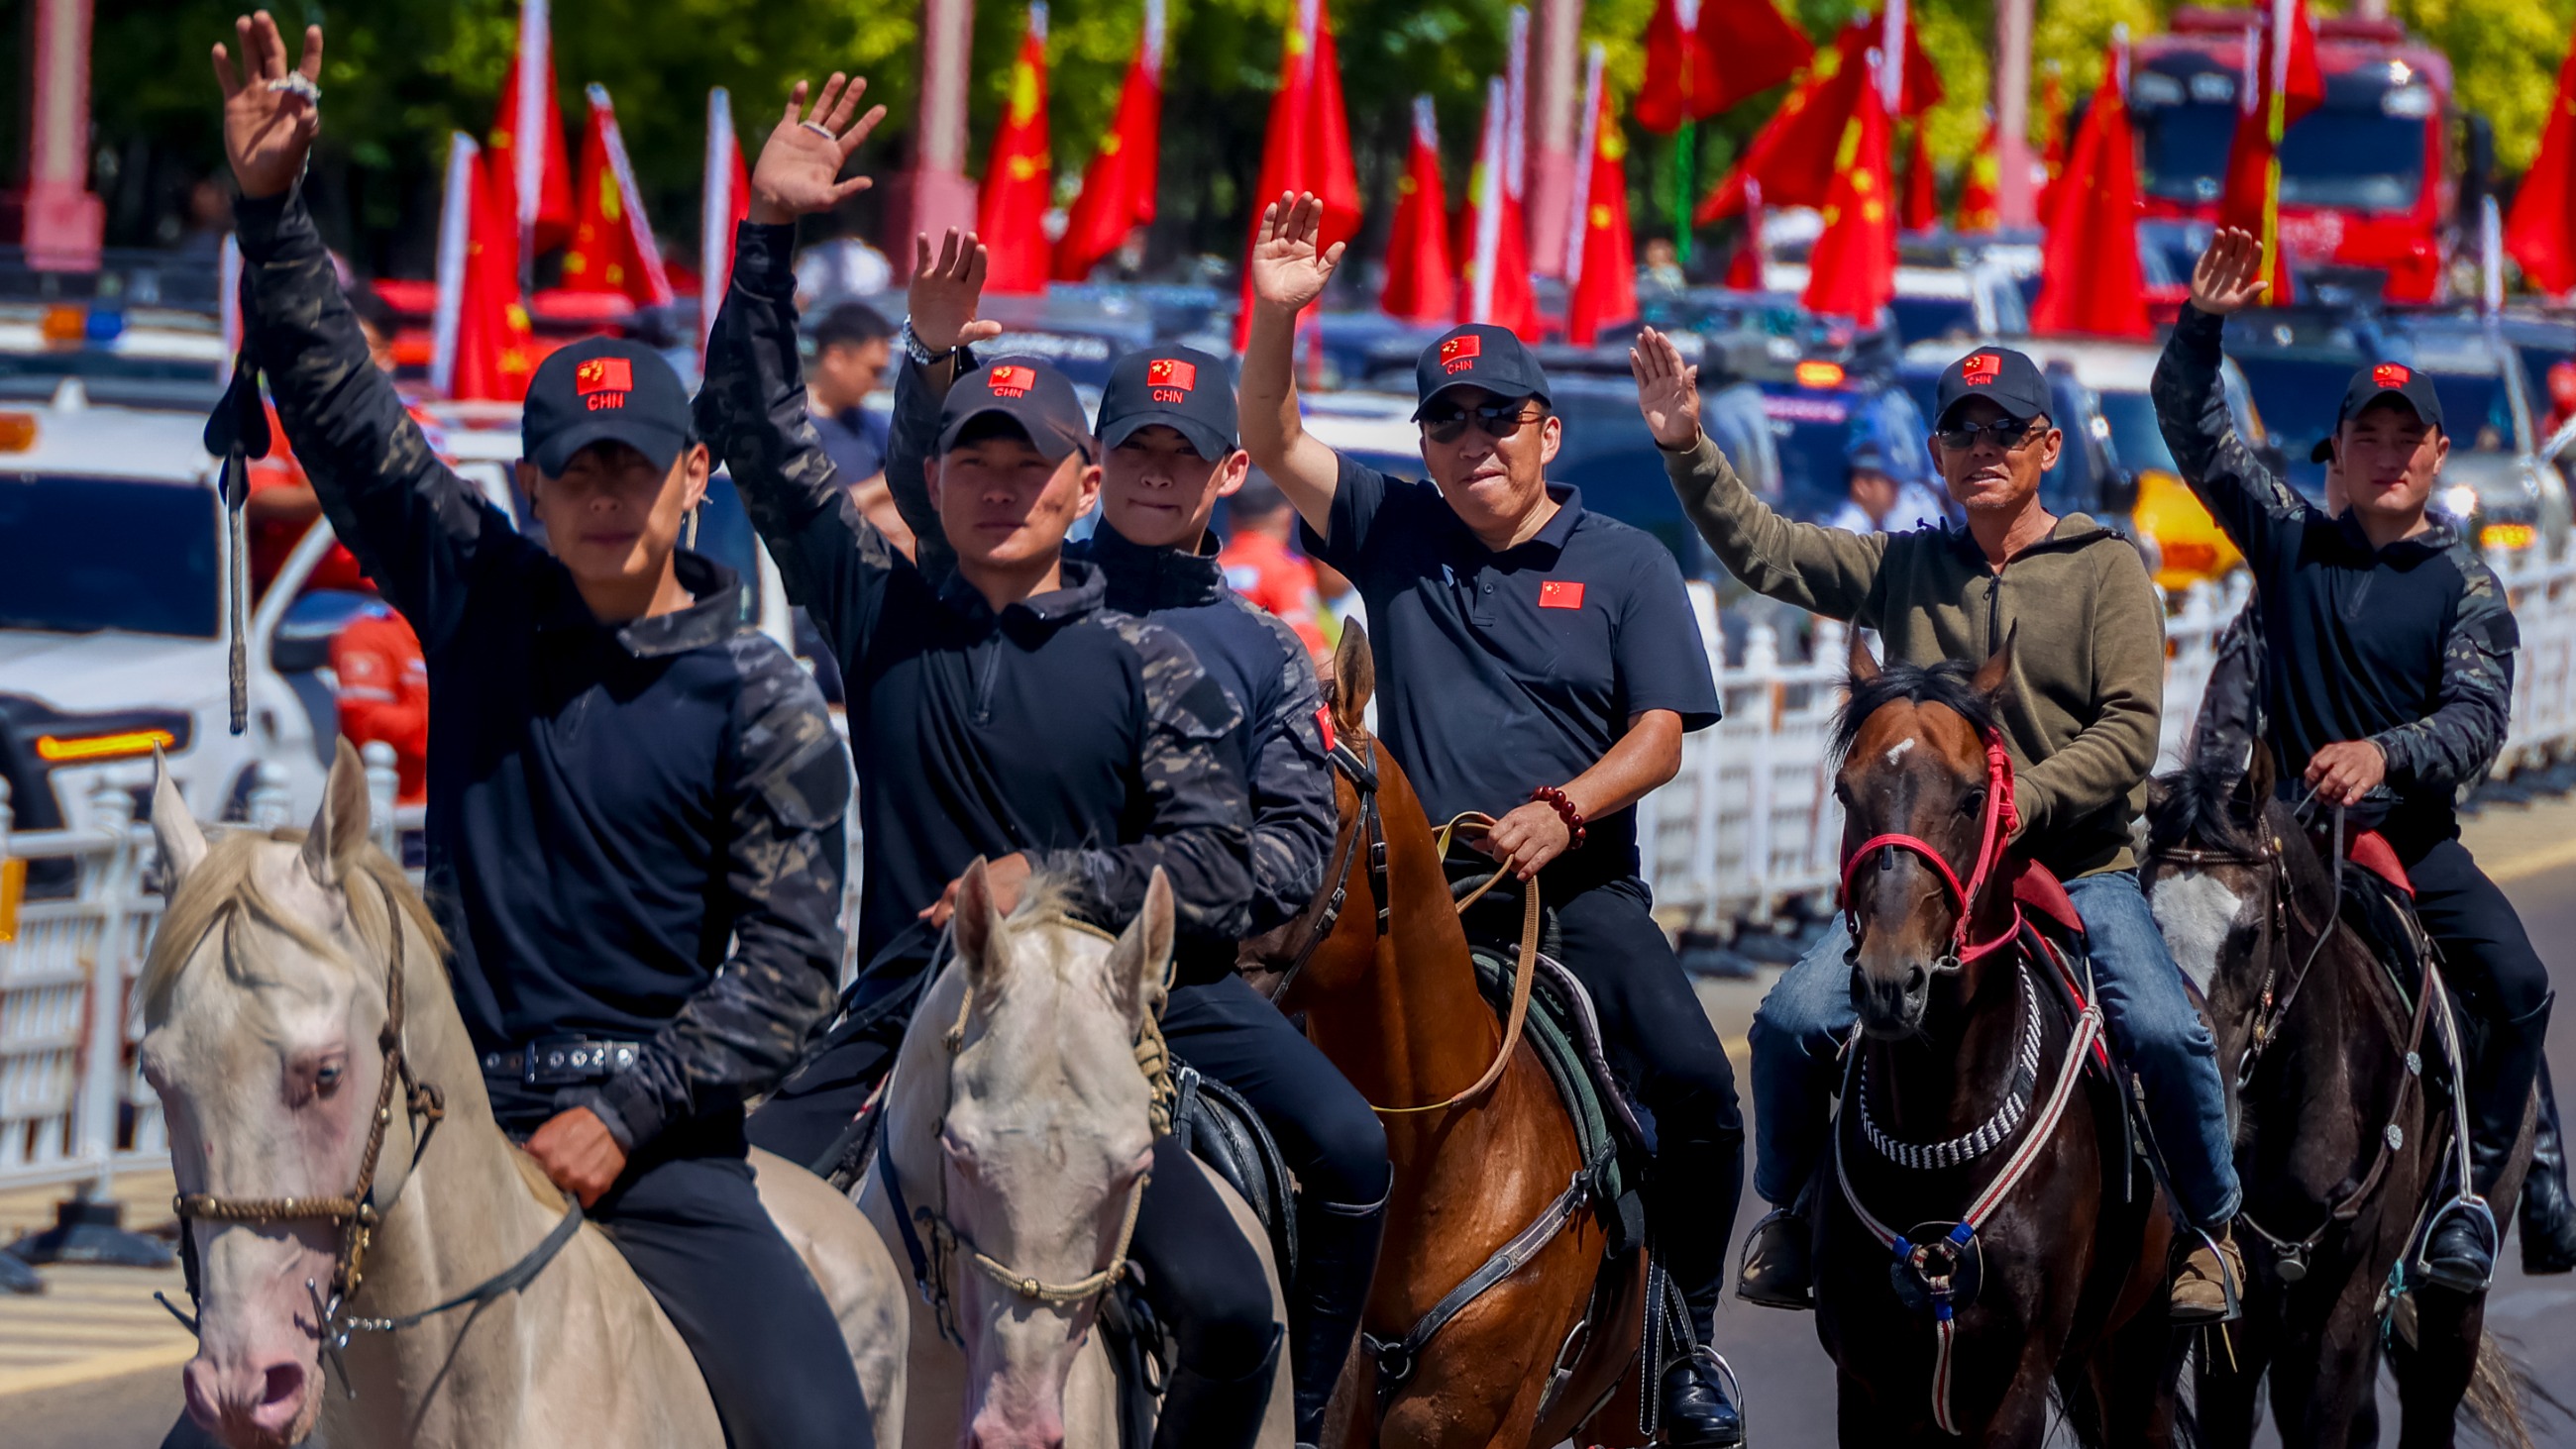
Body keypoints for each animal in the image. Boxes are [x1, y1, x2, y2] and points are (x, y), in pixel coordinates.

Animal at [1817, 634, 2178, 1448]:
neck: (1940, 1125)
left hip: (2141, 1349)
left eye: (1973, 798)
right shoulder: (1868, 1384)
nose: (1890, 982)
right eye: (1846, 794)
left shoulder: (2017, 1380)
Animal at [2143, 743, 2537, 1449]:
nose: (2203, 1096)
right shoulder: (2235, 1319)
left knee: (2430, 1402)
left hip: (2452, 1308)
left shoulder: (2344, 1314)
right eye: (2146, 916)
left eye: (2249, 933)